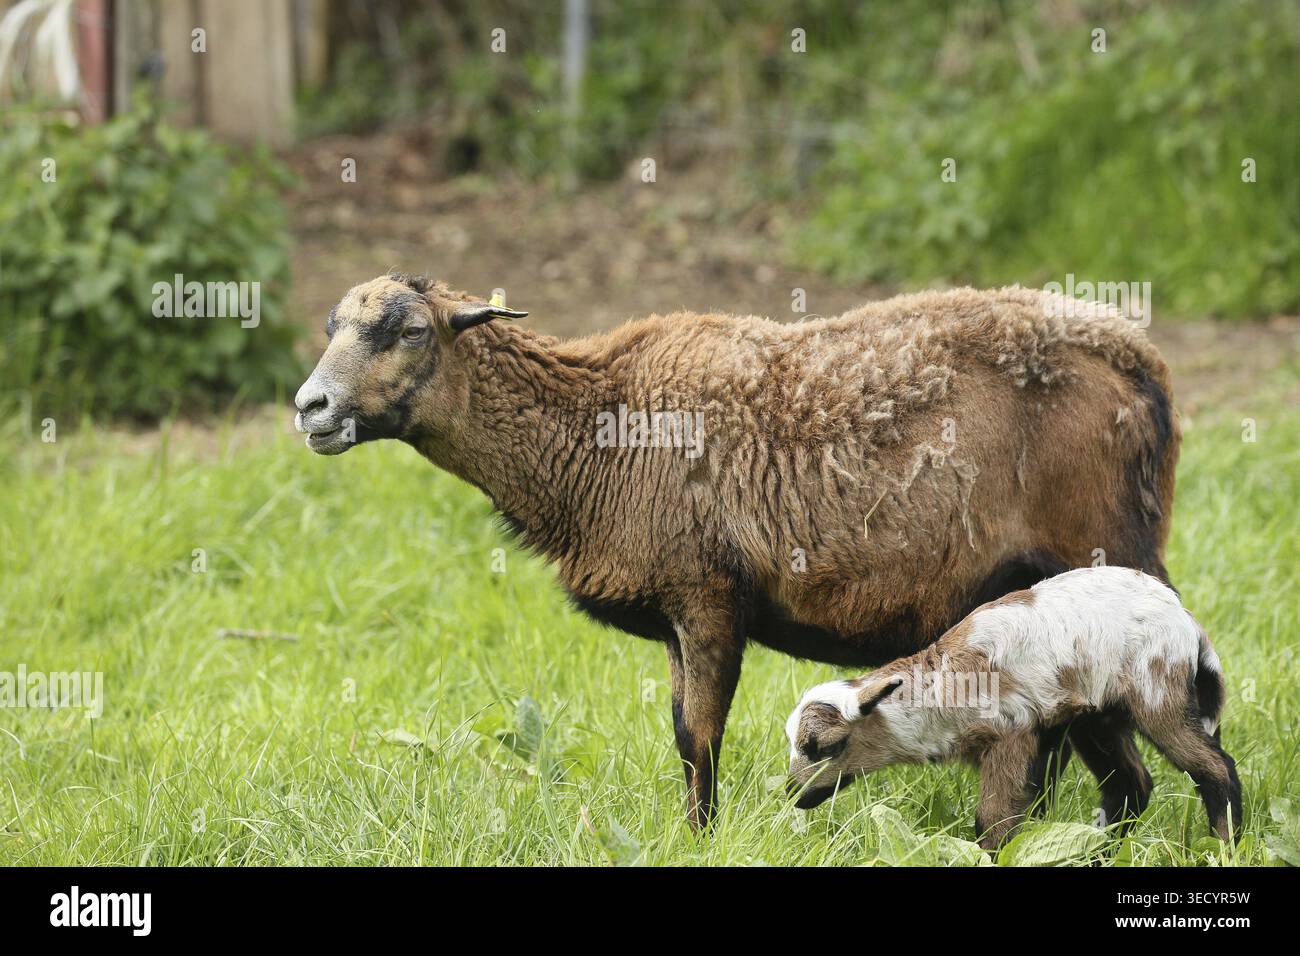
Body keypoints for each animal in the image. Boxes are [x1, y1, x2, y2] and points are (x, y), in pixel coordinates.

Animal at [293, 271, 1181, 827]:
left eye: (410, 331)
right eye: (332, 327)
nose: (310, 408)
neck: (594, 433)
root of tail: (1142, 364)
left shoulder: (708, 597)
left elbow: (698, 739)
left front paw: (703, 837)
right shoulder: (676, 615)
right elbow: (683, 734)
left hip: (1103, 556)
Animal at [785, 566, 1242, 849]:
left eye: (826, 746)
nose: (794, 794)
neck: (944, 684)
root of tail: (1185, 618)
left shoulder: (1012, 733)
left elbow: (994, 819)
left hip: (1157, 692)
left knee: (1215, 768)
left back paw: (1225, 844)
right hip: (1096, 715)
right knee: (1130, 785)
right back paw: (1101, 851)